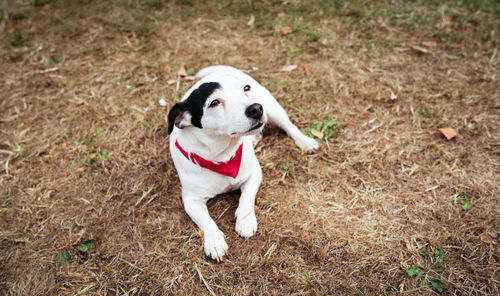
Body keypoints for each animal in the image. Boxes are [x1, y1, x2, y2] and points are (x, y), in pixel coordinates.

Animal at [167, 66, 316, 260]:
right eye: (214, 102)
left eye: (245, 88)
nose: (256, 108)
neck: (222, 156)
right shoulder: (190, 199)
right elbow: (205, 220)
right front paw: (214, 241)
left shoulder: (254, 174)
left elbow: (246, 198)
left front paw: (245, 221)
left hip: (273, 108)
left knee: (289, 126)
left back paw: (305, 141)